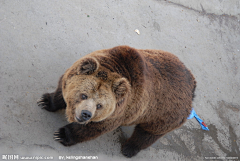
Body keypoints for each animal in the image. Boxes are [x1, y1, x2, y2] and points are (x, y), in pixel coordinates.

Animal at [37, 45, 195, 157]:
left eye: (99, 105)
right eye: (83, 95)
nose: (86, 114)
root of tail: (192, 85)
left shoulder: (118, 112)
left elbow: (92, 128)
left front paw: (62, 134)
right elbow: (60, 91)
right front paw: (46, 101)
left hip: (163, 115)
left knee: (147, 133)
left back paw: (128, 149)